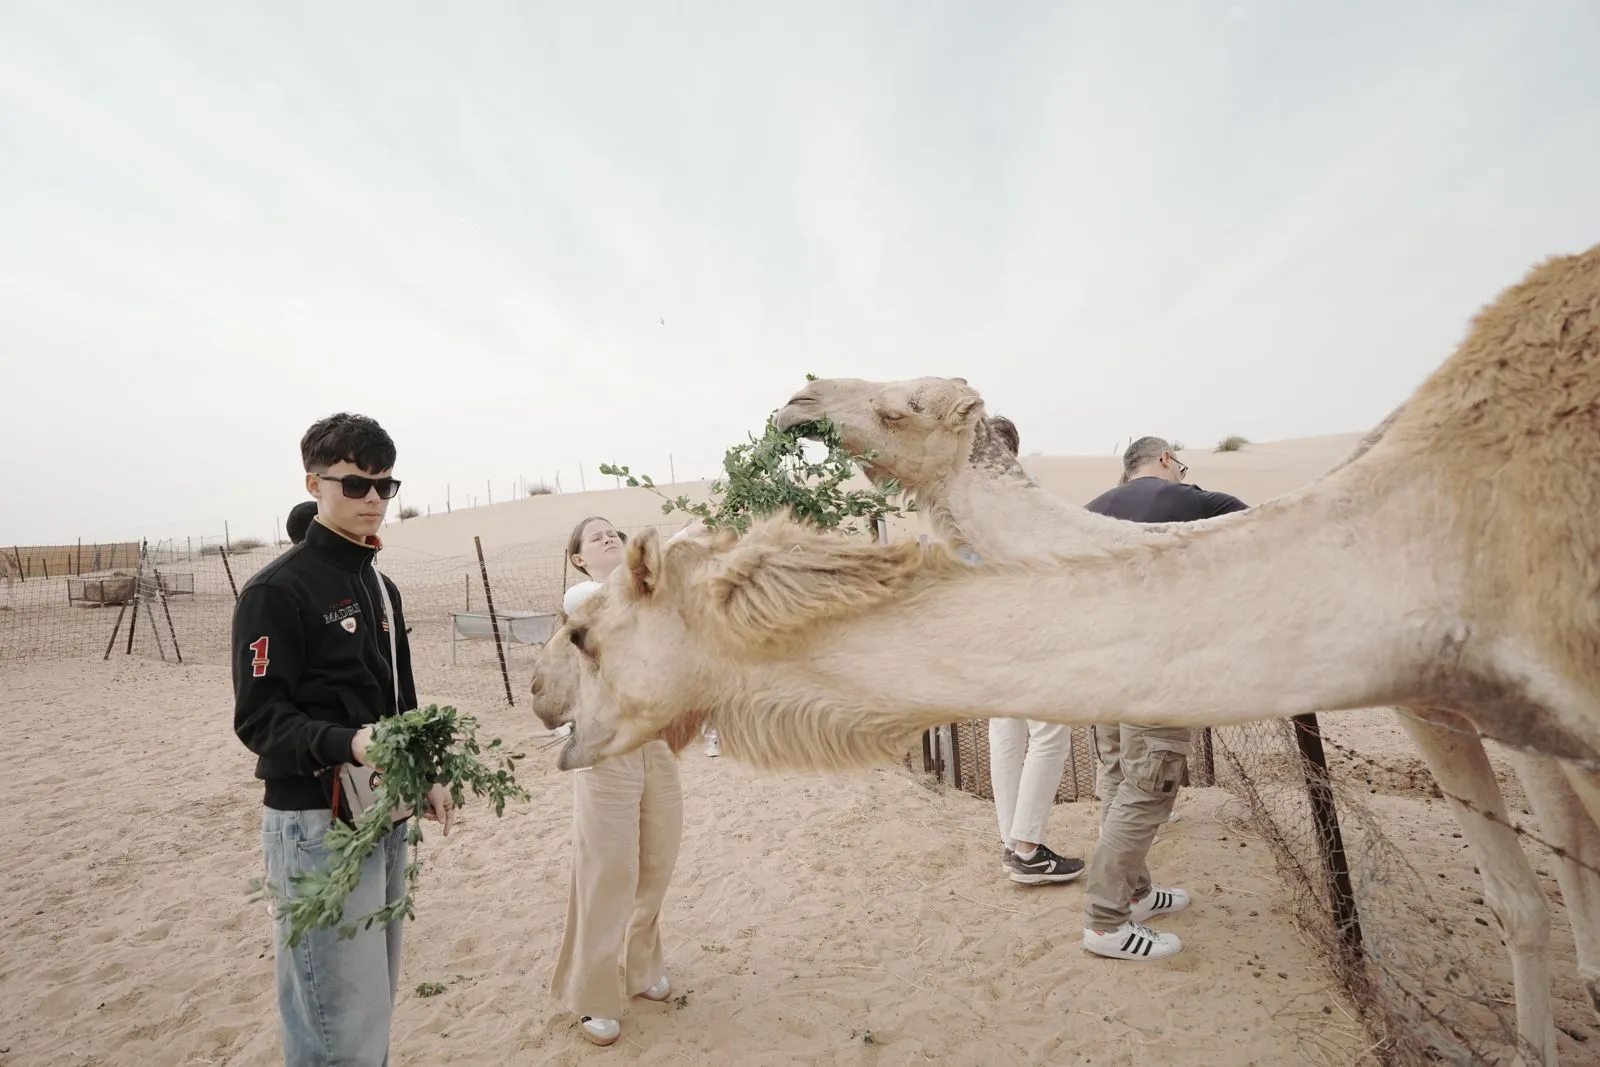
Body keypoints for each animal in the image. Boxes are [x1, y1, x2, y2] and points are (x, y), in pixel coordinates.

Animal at [546, 242, 1600, 1065]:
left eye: (905, 405)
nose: (796, 397)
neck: (1434, 529)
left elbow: (1566, 899)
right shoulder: (1443, 704)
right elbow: (1524, 901)